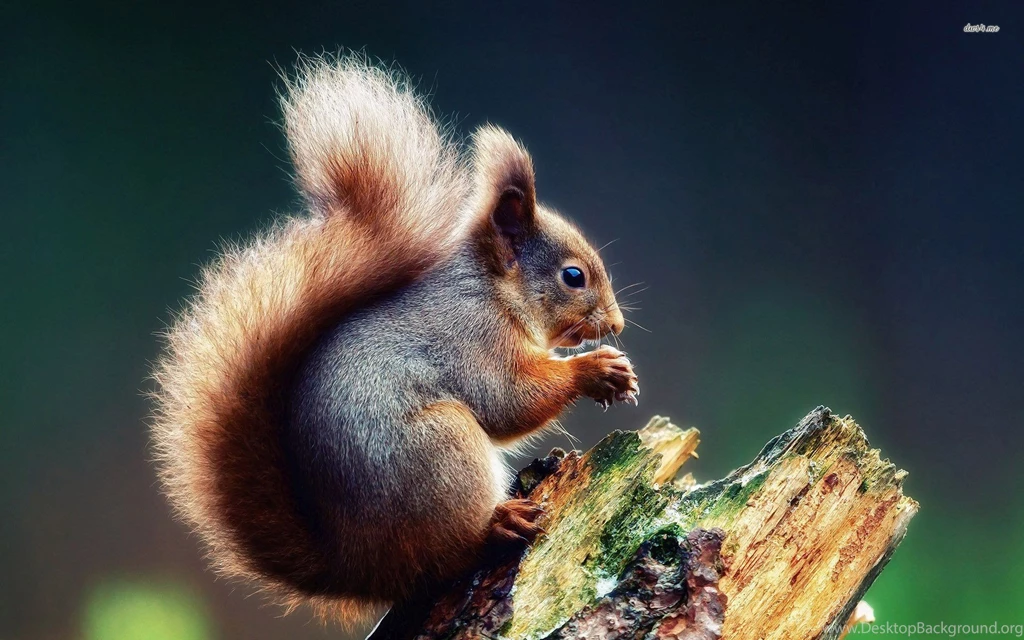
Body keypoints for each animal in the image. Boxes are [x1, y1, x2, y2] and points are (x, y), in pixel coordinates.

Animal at [151, 54, 639, 625]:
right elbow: (506, 401)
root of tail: (357, 568)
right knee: (448, 555)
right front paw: (598, 369)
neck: (492, 290)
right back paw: (499, 526)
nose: (617, 324)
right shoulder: (471, 336)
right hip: (441, 450)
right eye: (573, 276)